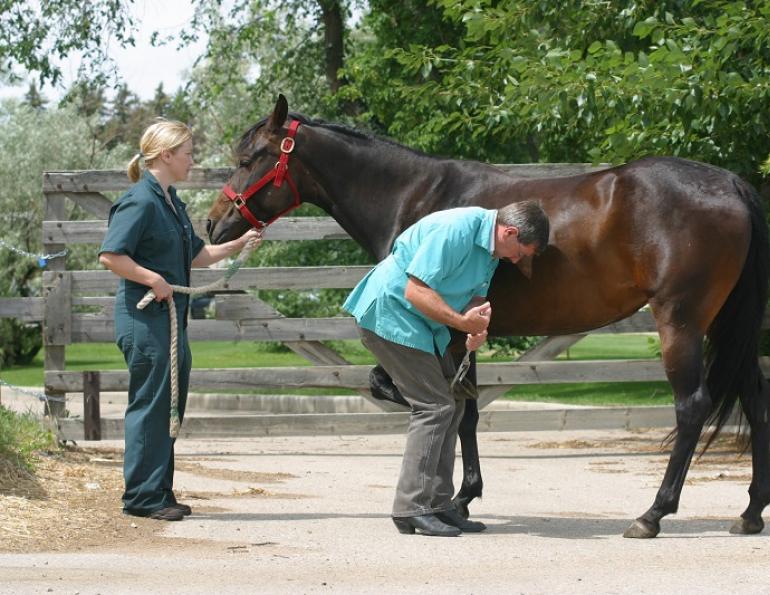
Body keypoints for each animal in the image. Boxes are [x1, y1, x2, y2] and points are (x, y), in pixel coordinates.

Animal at [206, 94, 770, 538]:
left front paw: (456, 499)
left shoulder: (449, 332)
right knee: (755, 401)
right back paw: (749, 513)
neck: (416, 195)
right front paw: (459, 498)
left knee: (692, 406)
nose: (214, 224)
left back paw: (652, 514)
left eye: (249, 157)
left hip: (681, 321)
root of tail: (731, 185)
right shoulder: (465, 329)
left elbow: (445, 403)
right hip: (725, 325)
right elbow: (462, 406)